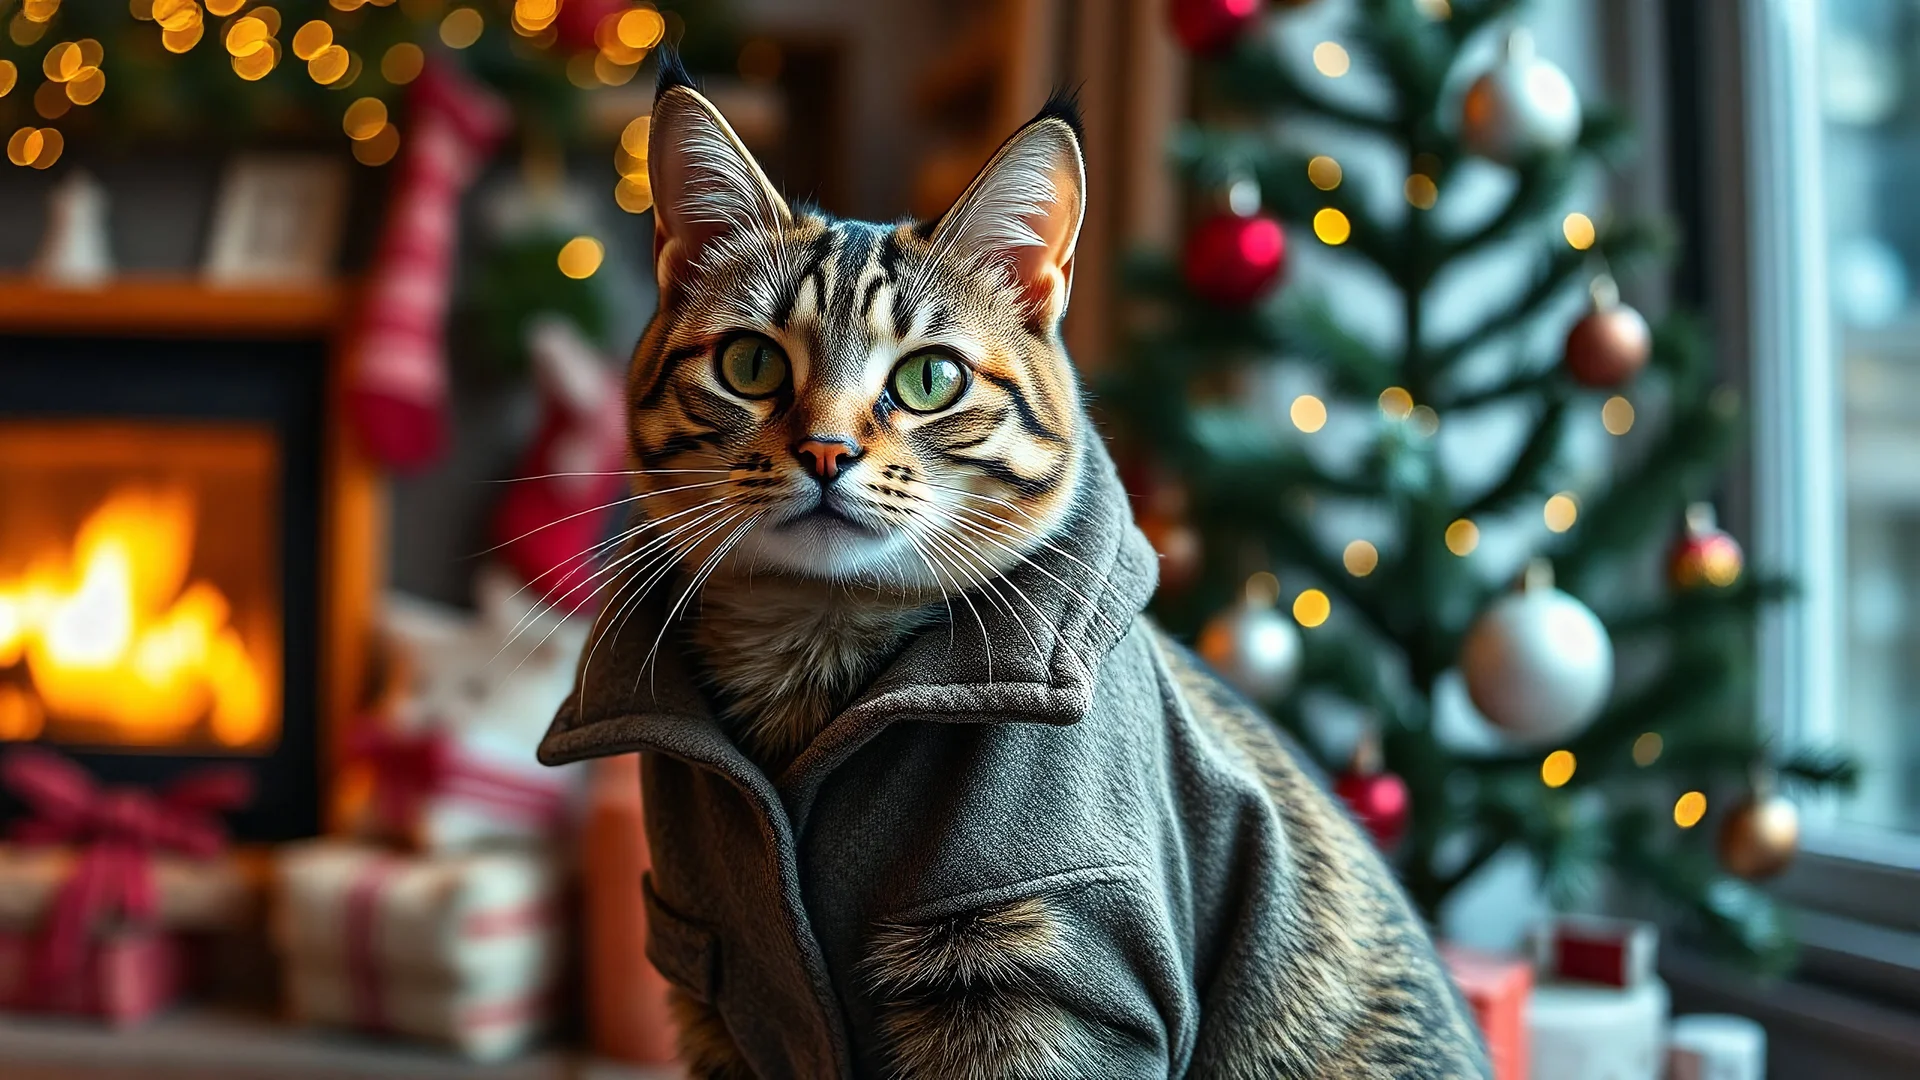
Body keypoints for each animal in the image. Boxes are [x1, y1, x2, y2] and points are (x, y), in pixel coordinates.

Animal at [541, 58, 1482, 1076]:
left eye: (929, 379)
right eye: (751, 364)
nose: (827, 450)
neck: (815, 647)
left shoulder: (1055, 970)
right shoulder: (713, 973)